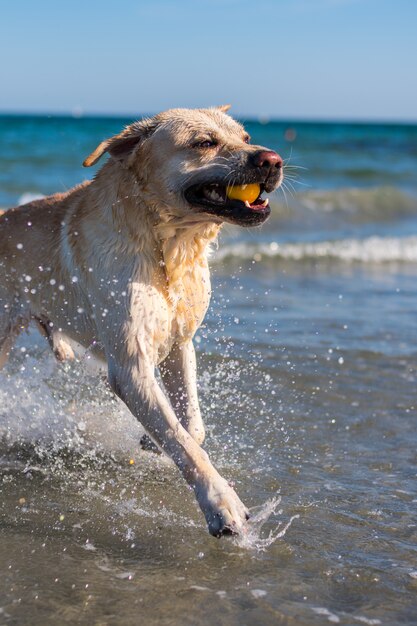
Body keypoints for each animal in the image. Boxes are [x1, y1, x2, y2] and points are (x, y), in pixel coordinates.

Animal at [0, 105, 282, 532]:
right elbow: (185, 445)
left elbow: (190, 425)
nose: (273, 160)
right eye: (205, 142)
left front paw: (155, 440)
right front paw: (222, 504)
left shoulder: (179, 343)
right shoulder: (131, 368)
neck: (166, 244)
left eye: (246, 137)